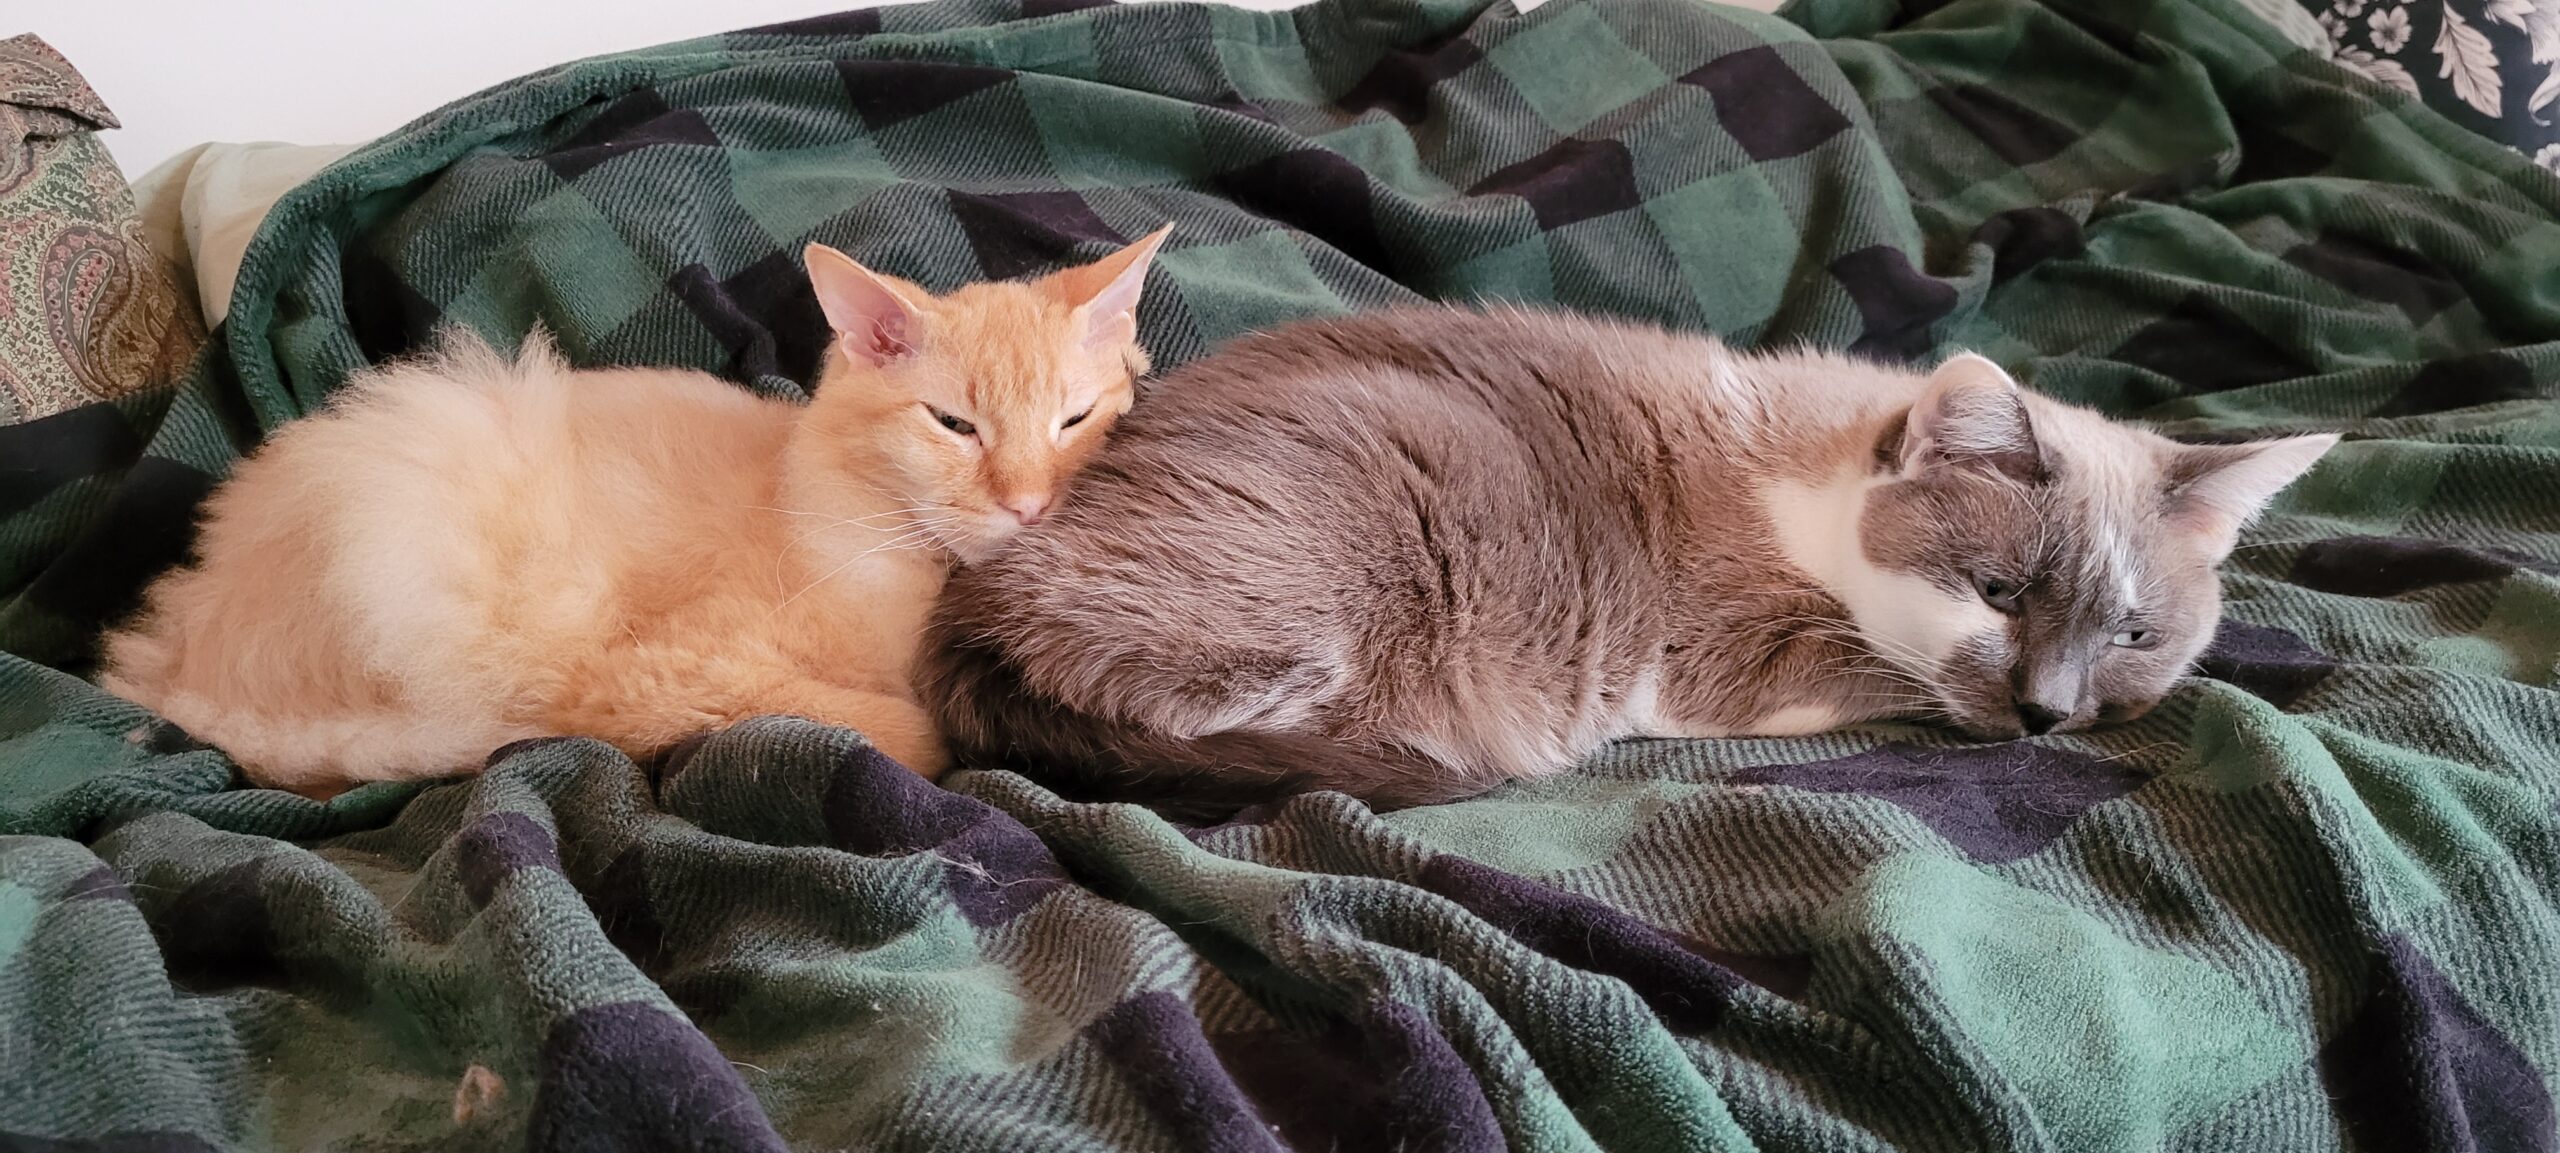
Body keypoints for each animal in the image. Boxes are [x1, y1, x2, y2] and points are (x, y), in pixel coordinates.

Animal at [99, 229, 1172, 799]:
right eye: (955, 425)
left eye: (1074, 418)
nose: (1029, 507)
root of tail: (171, 650)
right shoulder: (652, 674)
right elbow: (909, 729)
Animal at [921, 306, 2344, 809]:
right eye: (1999, 595)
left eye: (2133, 637)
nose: (2048, 715)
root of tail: (966, 609)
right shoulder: (1732, 656)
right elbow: (1898, 683)